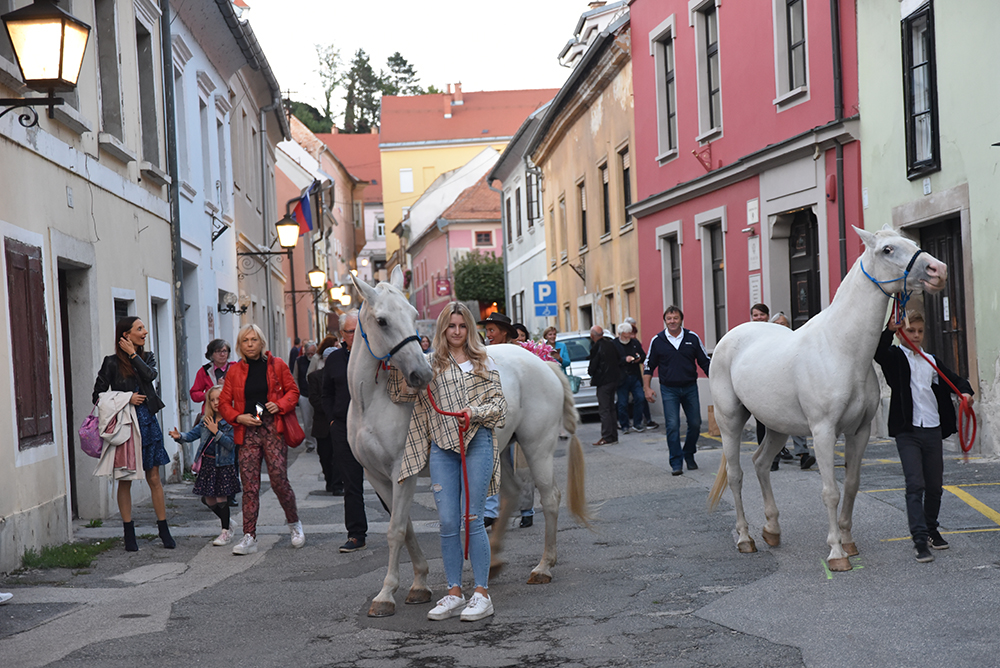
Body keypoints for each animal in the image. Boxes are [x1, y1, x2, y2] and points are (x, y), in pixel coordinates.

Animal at [348, 268, 588, 620]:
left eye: (413, 315)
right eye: (382, 321)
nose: (421, 374)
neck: (371, 403)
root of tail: (543, 362)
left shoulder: (401, 473)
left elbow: (395, 530)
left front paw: (386, 595)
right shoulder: (376, 476)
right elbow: (405, 527)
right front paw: (419, 584)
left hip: (537, 447)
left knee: (550, 497)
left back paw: (544, 567)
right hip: (502, 449)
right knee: (512, 493)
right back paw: (496, 561)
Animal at [708, 227, 948, 572]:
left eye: (913, 244)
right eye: (887, 249)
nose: (938, 271)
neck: (842, 349)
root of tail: (729, 337)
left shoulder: (859, 431)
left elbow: (851, 484)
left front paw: (848, 541)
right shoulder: (823, 432)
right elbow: (830, 491)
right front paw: (836, 553)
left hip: (777, 426)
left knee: (761, 463)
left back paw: (772, 530)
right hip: (730, 421)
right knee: (737, 475)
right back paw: (745, 539)